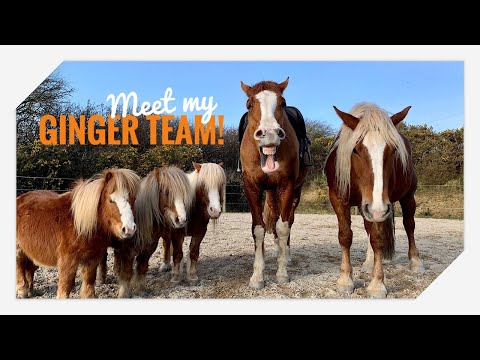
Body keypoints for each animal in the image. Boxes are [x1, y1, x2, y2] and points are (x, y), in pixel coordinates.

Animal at [15, 169, 140, 298]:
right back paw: (22, 290)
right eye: (111, 200)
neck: (80, 225)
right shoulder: (67, 260)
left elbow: (89, 283)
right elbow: (65, 288)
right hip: (18, 249)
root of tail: (20, 198)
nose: (129, 229)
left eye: (133, 199)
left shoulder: (92, 259)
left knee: (29, 269)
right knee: (19, 265)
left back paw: (30, 291)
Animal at [96, 167, 194, 296]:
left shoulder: (148, 249)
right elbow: (127, 273)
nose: (181, 219)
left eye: (183, 194)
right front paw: (123, 294)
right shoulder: (127, 252)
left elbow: (142, 268)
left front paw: (141, 290)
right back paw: (100, 280)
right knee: (102, 257)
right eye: (166, 192)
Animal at [239, 79, 308, 290]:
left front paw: (282, 272)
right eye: (249, 105)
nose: (270, 134)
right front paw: (257, 276)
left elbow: (283, 227)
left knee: (287, 222)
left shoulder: (287, 186)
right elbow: (258, 229)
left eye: (282, 103)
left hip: (294, 192)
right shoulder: (251, 188)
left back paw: (285, 254)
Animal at [326, 101, 424, 298]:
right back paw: (369, 262)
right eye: (355, 149)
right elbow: (345, 236)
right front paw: (345, 280)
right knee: (368, 228)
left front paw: (377, 284)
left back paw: (416, 262)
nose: (377, 209)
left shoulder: (380, 206)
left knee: (409, 225)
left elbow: (378, 239)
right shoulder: (339, 199)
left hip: (407, 197)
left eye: (393, 150)